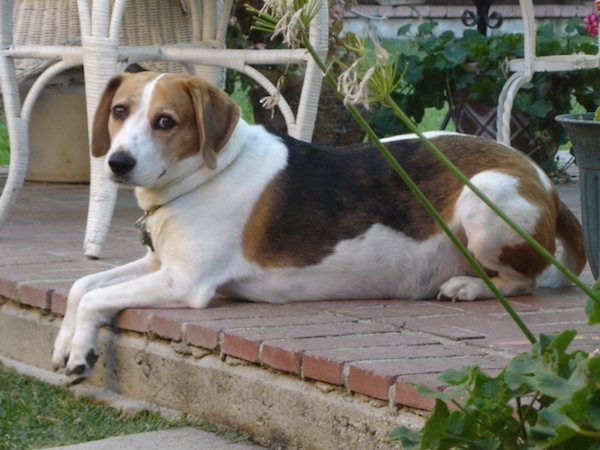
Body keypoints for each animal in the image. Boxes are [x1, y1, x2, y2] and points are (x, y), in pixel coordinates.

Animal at [50, 73, 584, 384]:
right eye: (119, 111)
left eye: (166, 122)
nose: (118, 164)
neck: (209, 172)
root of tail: (541, 177)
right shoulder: (157, 263)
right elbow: (81, 286)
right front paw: (65, 342)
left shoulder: (185, 282)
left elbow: (96, 296)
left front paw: (81, 350)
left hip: (484, 196)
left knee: (525, 282)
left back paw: (469, 287)